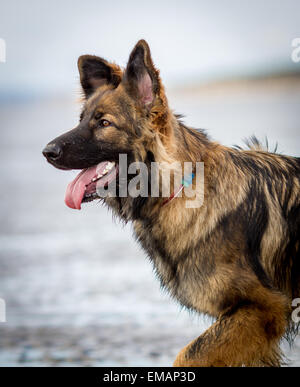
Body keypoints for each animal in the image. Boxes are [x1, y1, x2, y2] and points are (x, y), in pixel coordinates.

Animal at [42, 40, 300, 370]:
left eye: (104, 123)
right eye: (81, 120)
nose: (47, 151)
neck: (178, 188)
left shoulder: (265, 307)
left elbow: (189, 354)